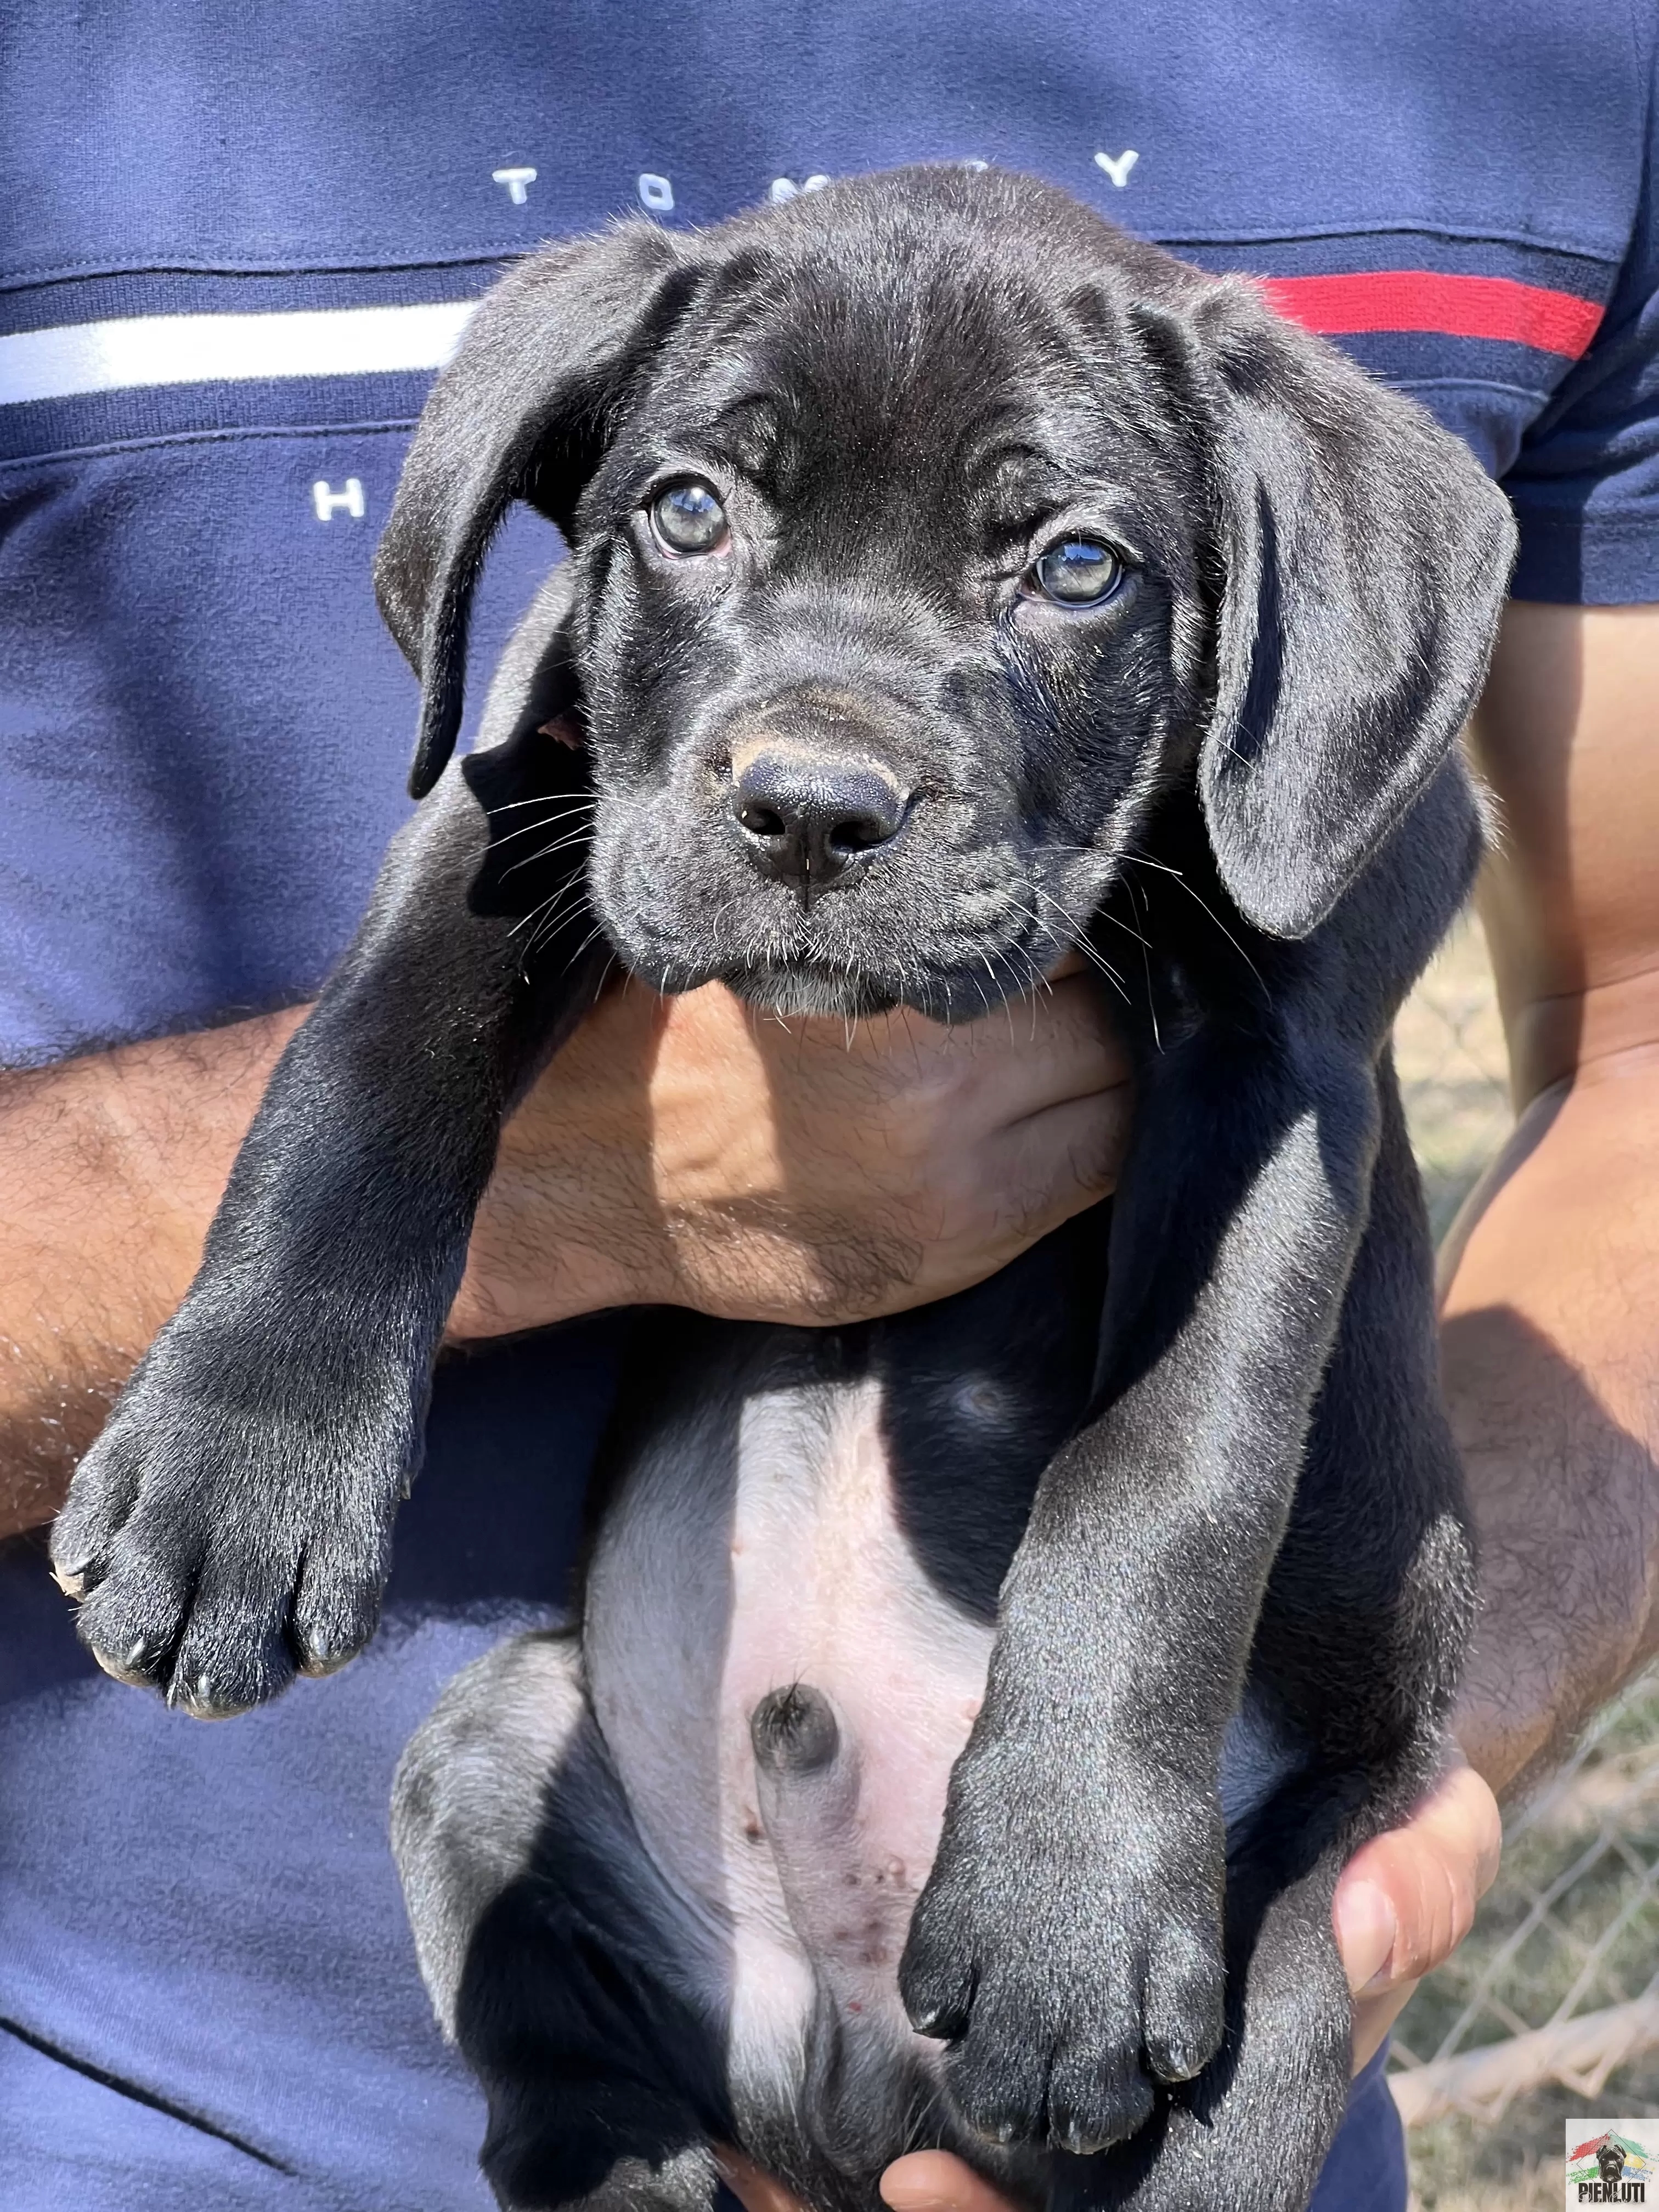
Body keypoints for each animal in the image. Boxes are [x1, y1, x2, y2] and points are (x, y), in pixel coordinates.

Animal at [55, 168, 1522, 2212]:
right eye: (688, 511)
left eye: (1078, 568)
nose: (814, 812)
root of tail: (843, 2097)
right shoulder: (529, 791)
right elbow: (367, 1066)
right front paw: (235, 1474)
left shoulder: (1287, 1051)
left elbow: (1177, 1455)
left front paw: (1063, 1896)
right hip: (495, 1741)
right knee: (549, 2044)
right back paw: (626, 2169)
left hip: (1320, 1915)